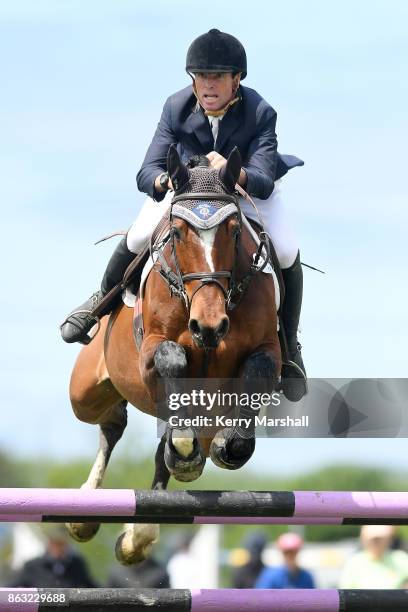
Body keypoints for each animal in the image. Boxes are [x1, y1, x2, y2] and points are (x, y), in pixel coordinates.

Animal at [67, 145, 280, 564]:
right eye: (178, 232)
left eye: (234, 231)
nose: (209, 326)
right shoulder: (154, 350)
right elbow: (171, 358)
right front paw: (186, 453)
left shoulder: (267, 351)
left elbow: (258, 371)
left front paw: (225, 447)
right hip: (84, 393)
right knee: (112, 423)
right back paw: (86, 514)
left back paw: (137, 534)